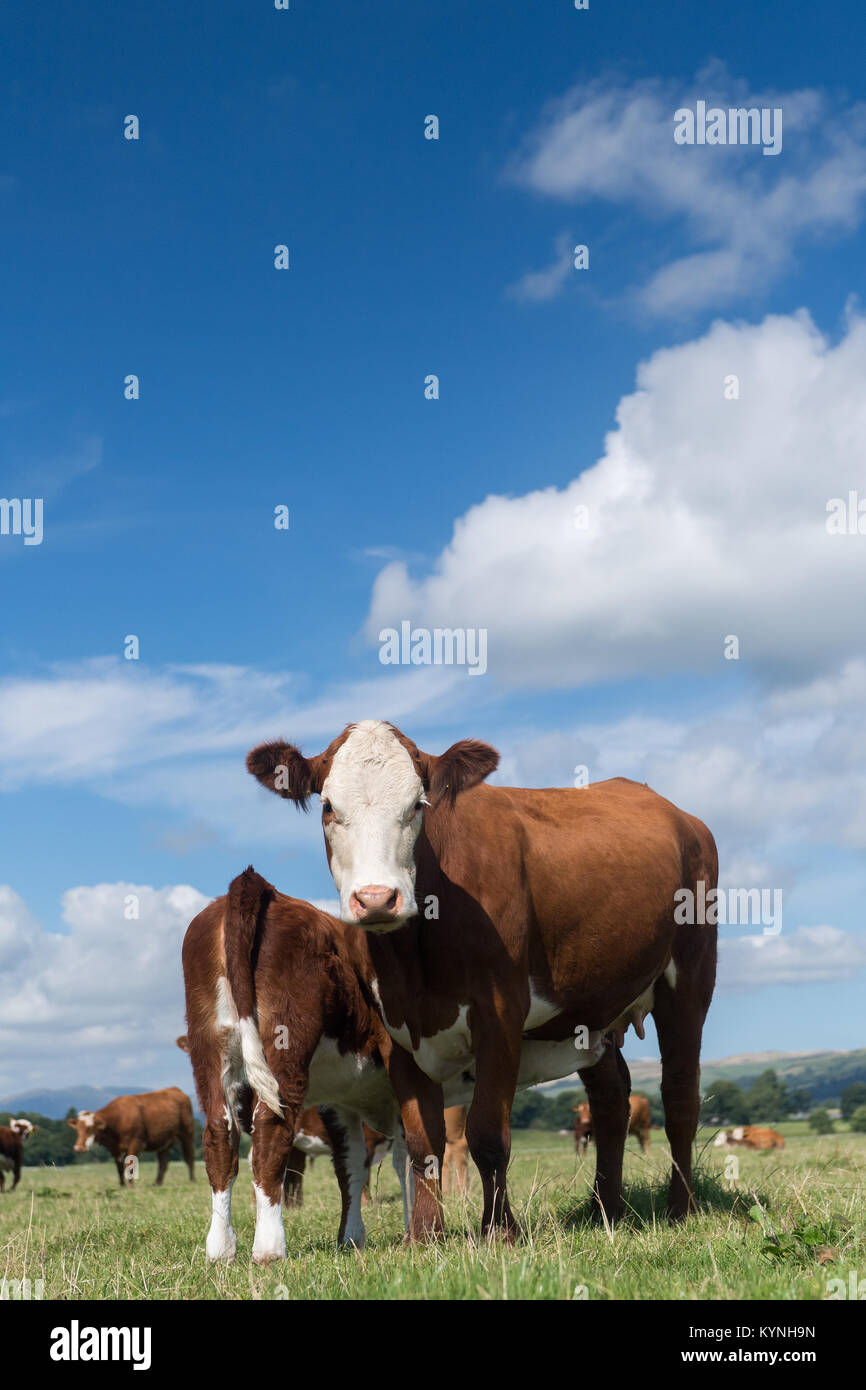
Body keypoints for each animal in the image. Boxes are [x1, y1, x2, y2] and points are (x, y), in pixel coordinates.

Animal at [67, 1089, 195, 1186]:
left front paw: (130, 1186)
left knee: (189, 1157)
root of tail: (175, 1089)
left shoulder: (135, 1142)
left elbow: (130, 1166)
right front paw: (122, 1185)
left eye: (90, 1128)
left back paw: (192, 1180)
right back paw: (157, 1183)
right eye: (77, 1129)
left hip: (187, 1133)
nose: (79, 1148)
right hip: (164, 1142)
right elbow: (119, 1167)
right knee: (163, 1163)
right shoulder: (115, 1149)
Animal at [246, 719, 718, 1240]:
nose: (376, 899)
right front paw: (424, 1235)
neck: (414, 958)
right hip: (592, 1010)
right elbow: (422, 1140)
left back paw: (680, 1207)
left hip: (690, 977)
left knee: (680, 1096)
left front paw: (499, 1230)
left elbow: (487, 1132)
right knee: (611, 1100)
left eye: (418, 804)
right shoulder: (398, 1032)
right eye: (329, 807)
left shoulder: (499, 1013)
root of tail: (677, 814)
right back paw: (605, 1209)